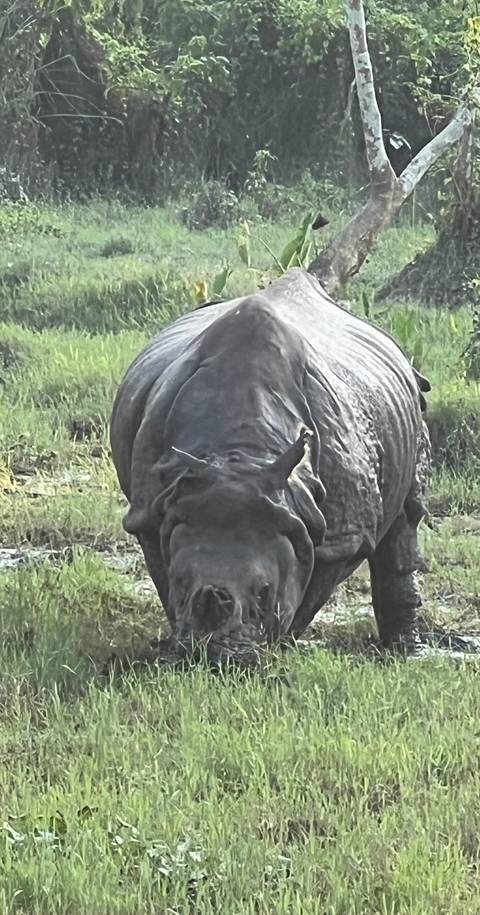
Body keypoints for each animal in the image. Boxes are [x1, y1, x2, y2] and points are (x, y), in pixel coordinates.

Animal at [110, 268, 430, 662]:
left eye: (264, 592)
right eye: (181, 580)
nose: (216, 656)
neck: (241, 452)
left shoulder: (340, 536)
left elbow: (309, 588)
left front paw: (281, 646)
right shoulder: (151, 510)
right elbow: (162, 571)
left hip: (413, 401)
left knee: (406, 518)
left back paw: (406, 650)